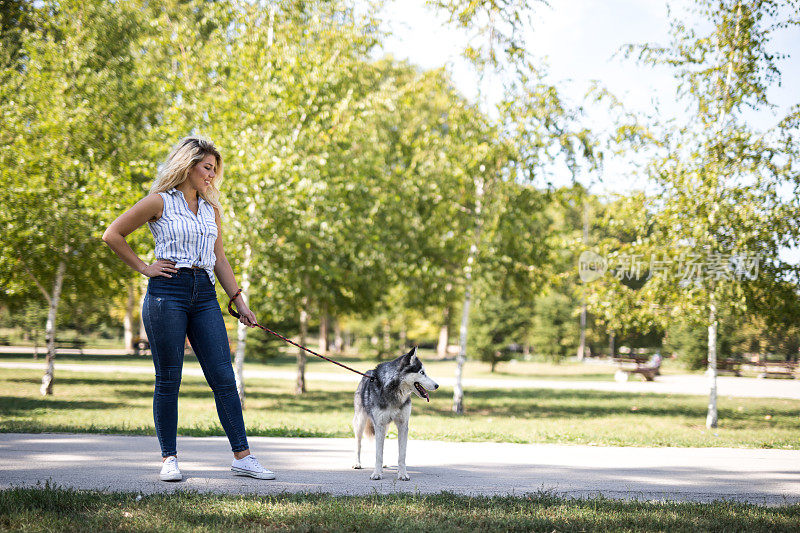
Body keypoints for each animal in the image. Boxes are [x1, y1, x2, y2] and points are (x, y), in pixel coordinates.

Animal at [354, 348, 440, 480]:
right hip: (361, 422)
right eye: (422, 372)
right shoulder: (379, 425)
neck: (394, 391)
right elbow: (378, 453)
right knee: (358, 444)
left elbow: (401, 454)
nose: (437, 385)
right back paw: (357, 463)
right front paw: (376, 473)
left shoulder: (403, 425)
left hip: (385, 427)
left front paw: (403, 474)